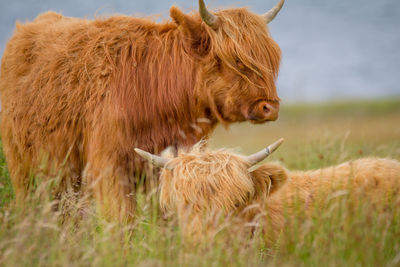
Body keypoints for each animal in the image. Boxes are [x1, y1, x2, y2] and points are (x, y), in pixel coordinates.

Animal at [1, 0, 286, 222]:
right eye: (237, 60)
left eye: (271, 59)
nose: (270, 107)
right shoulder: (110, 166)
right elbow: (122, 220)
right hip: (22, 165)